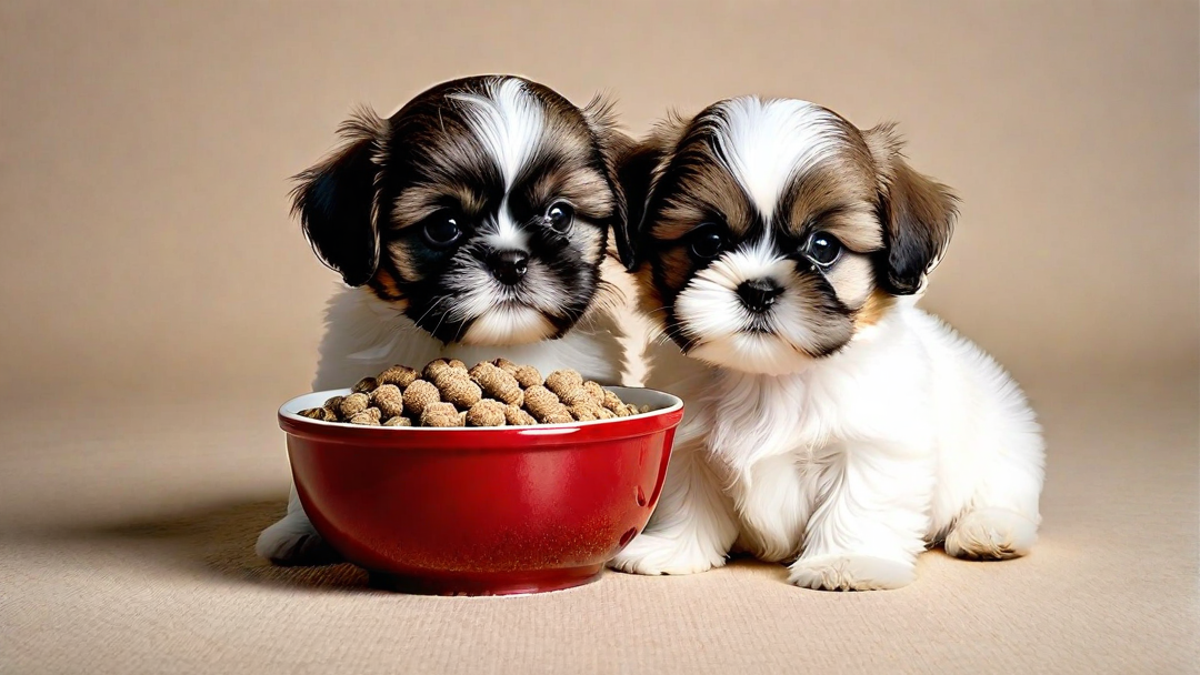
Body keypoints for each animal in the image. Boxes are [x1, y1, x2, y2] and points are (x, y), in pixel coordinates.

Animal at [614, 98, 1046, 588]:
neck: (772, 379)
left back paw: (989, 530)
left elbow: (858, 498)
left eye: (823, 247)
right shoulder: (690, 447)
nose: (758, 289)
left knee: (1004, 493)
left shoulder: (876, 443)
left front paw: (846, 561)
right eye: (708, 240)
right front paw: (672, 548)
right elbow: (688, 497)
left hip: (1005, 446)